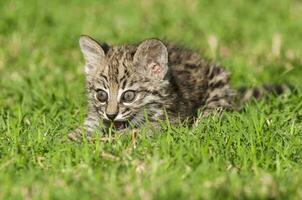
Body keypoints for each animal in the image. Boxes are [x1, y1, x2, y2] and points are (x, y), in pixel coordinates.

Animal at [69, 35, 292, 139]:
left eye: (129, 96)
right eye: (101, 95)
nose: (111, 115)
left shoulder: (171, 121)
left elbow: (141, 131)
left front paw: (114, 139)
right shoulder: (95, 117)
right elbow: (85, 129)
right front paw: (69, 140)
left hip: (217, 84)